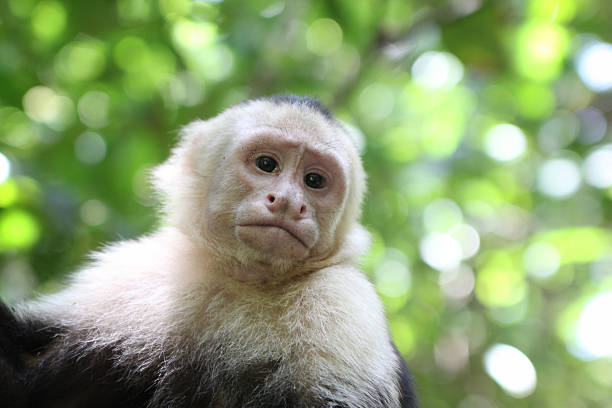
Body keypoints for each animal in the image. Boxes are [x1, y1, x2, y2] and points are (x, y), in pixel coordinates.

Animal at [0, 96, 416, 408]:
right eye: (267, 164)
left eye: (314, 180)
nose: (287, 202)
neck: (246, 277)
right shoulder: (136, 271)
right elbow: (22, 376)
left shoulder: (343, 302)